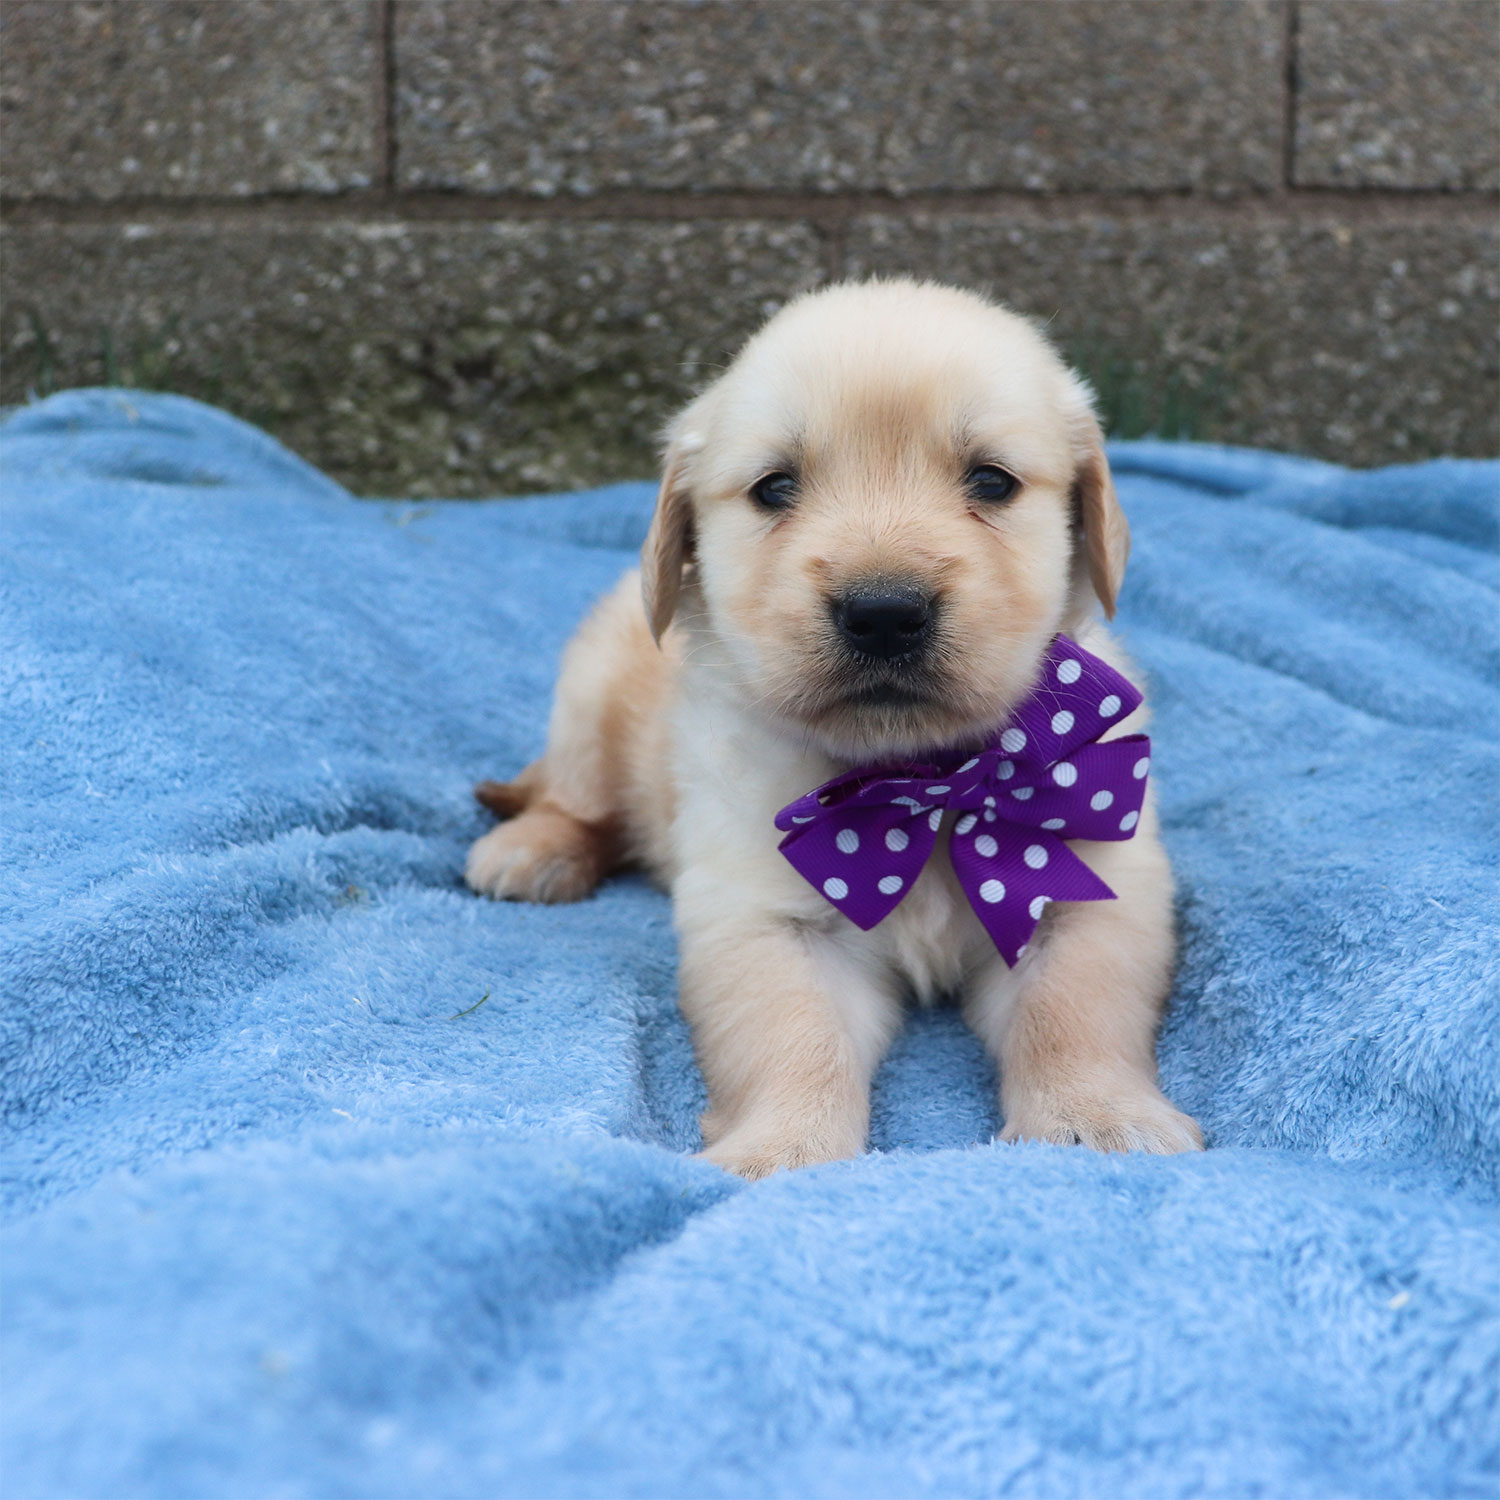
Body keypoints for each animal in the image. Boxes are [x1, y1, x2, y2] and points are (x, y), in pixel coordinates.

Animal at [462, 276, 1200, 1176]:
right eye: (775, 488)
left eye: (992, 482)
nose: (884, 613)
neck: (918, 782)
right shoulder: (765, 919)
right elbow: (793, 1037)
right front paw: (783, 1146)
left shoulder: (1087, 893)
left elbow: (1075, 1011)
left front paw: (1095, 1116)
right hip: (588, 695)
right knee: (575, 799)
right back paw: (534, 850)